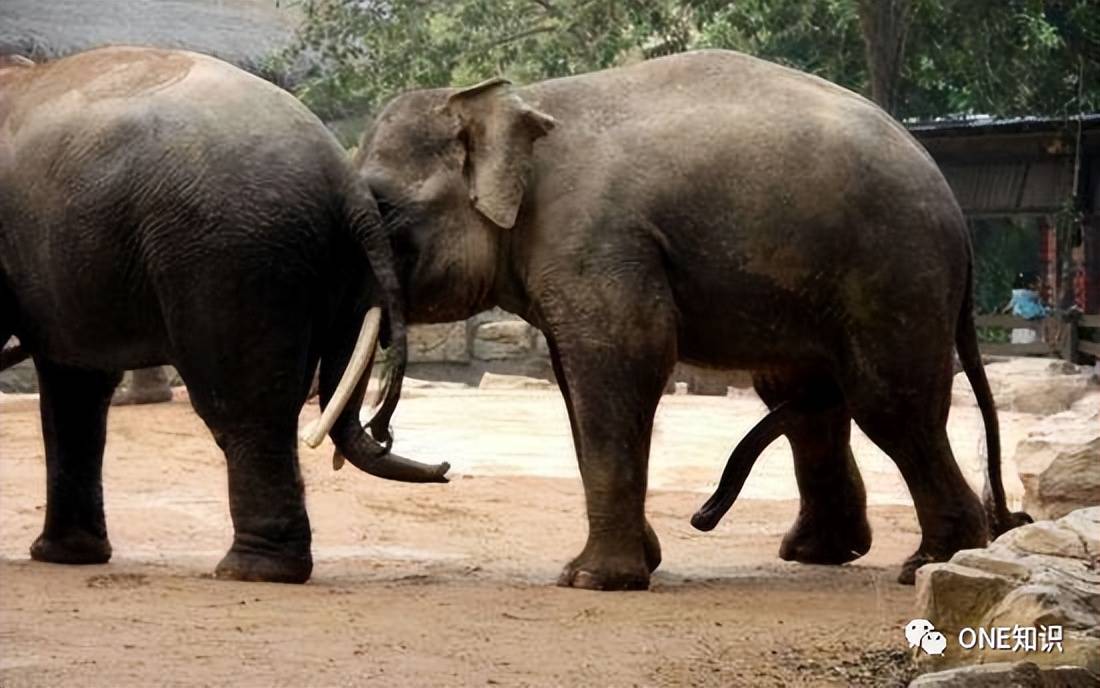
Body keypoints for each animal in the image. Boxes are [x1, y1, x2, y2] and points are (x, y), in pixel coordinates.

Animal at [1, 47, 446, 585]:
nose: (442, 466)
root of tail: (345, 181)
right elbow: (76, 379)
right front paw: (63, 555)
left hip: (229, 257)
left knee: (240, 404)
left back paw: (251, 570)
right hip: (327, 269)